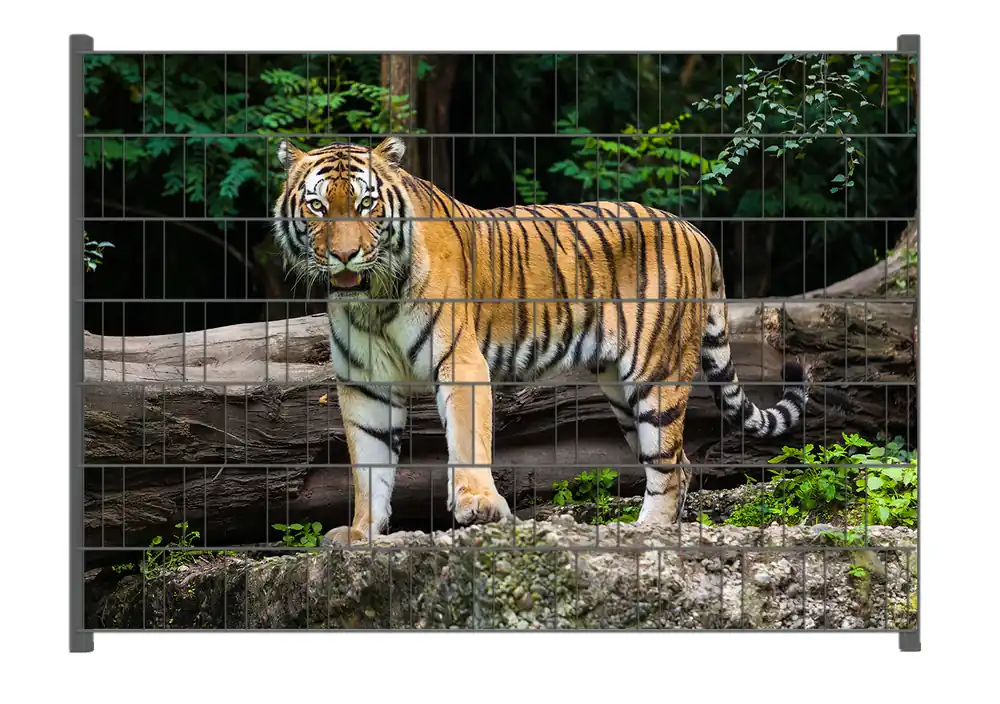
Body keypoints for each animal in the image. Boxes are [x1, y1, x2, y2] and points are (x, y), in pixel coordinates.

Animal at [271, 136, 810, 546]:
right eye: (318, 206)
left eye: (366, 204)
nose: (345, 256)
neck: (373, 298)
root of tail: (696, 232)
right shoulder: (364, 383)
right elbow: (369, 465)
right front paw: (362, 534)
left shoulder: (460, 360)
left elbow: (467, 438)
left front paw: (477, 506)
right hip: (621, 390)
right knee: (678, 462)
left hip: (656, 374)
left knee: (671, 467)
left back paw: (644, 533)